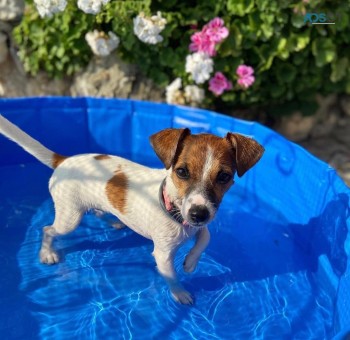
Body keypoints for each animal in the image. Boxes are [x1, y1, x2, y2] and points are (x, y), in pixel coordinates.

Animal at [0, 115, 264, 304]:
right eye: (181, 172)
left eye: (224, 177)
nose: (198, 215)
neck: (174, 210)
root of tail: (62, 160)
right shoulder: (163, 254)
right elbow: (171, 275)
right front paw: (180, 293)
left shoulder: (199, 222)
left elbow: (205, 237)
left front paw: (190, 262)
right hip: (69, 219)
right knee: (47, 229)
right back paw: (47, 253)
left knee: (96, 212)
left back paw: (114, 221)